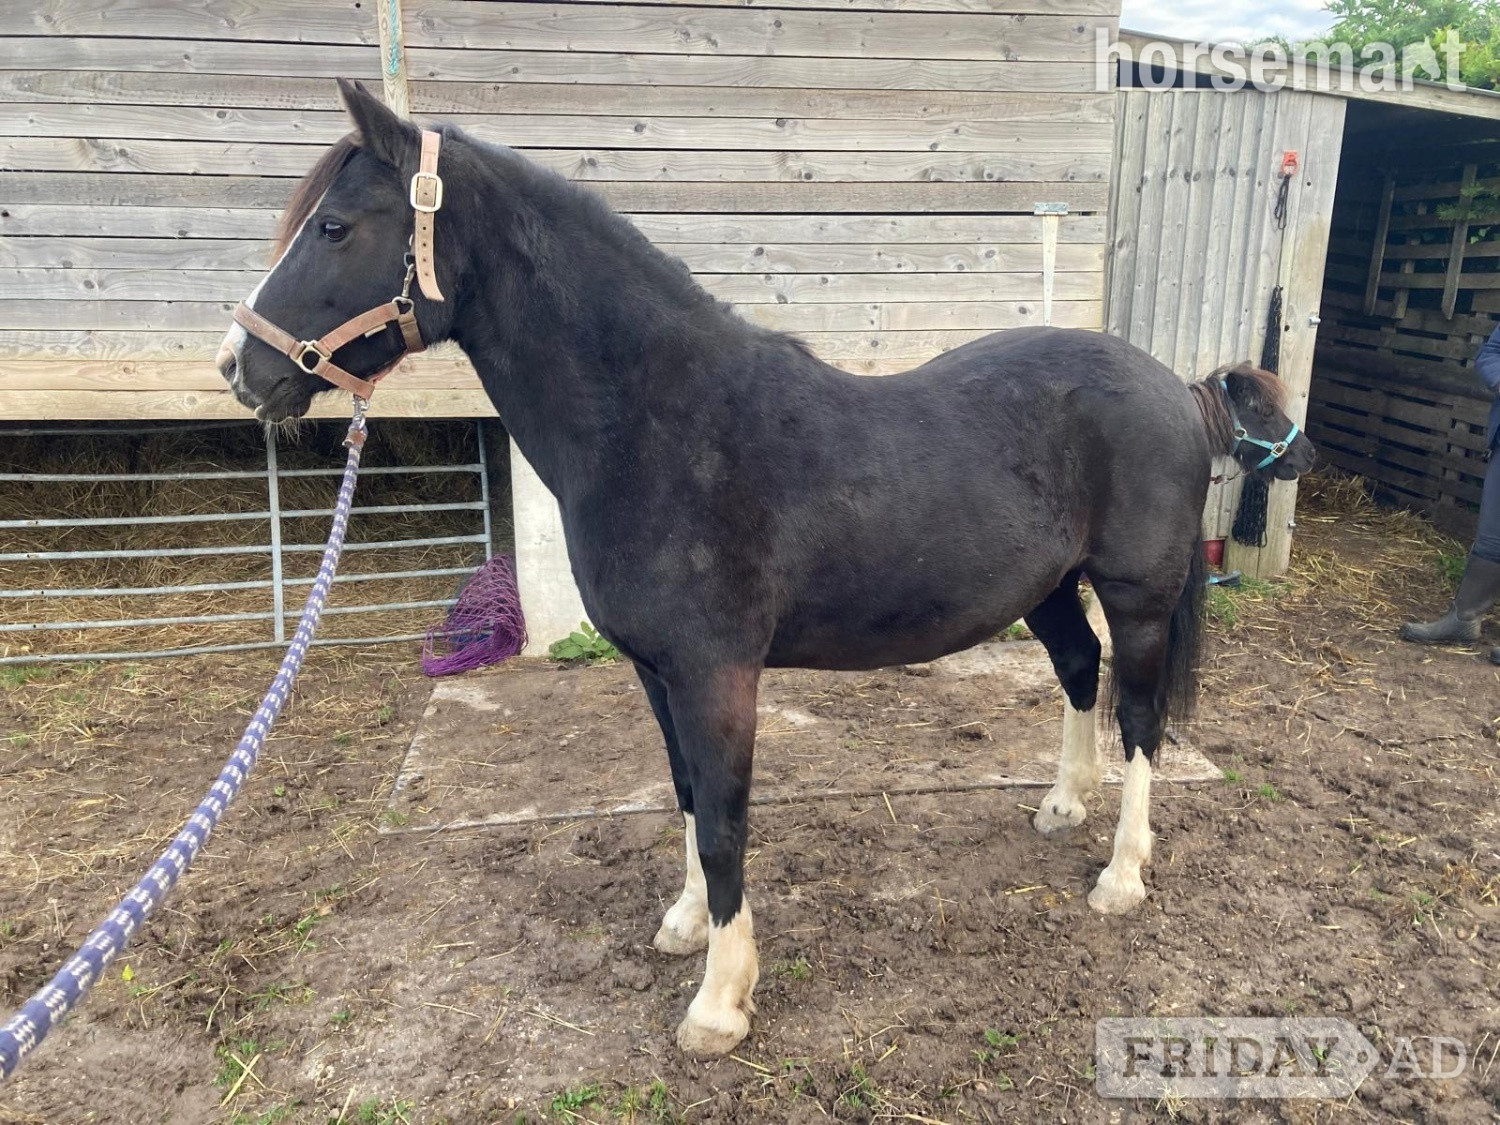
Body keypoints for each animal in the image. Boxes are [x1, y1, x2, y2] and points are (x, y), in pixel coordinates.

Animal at [216, 79, 1317, 1057]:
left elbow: (725, 820)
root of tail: (1175, 386)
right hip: (1046, 590)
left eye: (335, 229)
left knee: (1138, 715)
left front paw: (720, 1003)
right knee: (1080, 672)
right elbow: (686, 796)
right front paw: (686, 927)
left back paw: (1122, 876)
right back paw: (1061, 806)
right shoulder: (658, 674)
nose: (240, 368)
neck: (661, 423)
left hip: (1138, 595)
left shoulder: (717, 676)